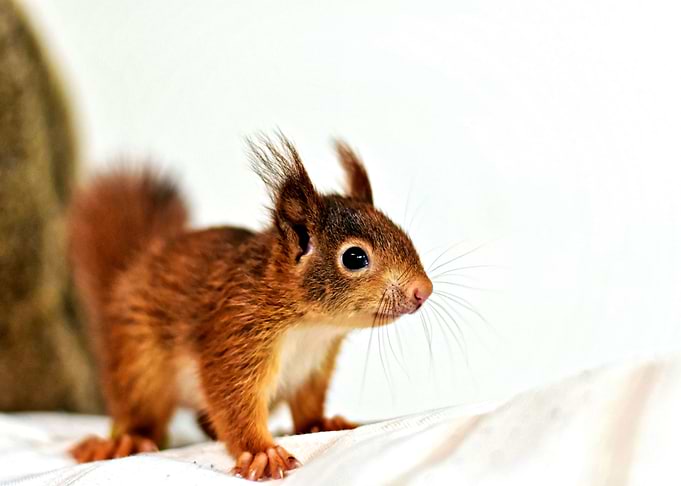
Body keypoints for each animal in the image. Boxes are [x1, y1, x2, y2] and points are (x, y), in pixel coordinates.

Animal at [67, 134, 433, 480]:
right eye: (354, 257)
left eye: (399, 231)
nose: (423, 291)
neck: (312, 326)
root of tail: (130, 271)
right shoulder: (235, 333)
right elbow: (233, 403)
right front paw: (261, 452)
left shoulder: (313, 366)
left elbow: (308, 404)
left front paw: (321, 424)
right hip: (138, 364)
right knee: (139, 413)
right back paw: (123, 440)